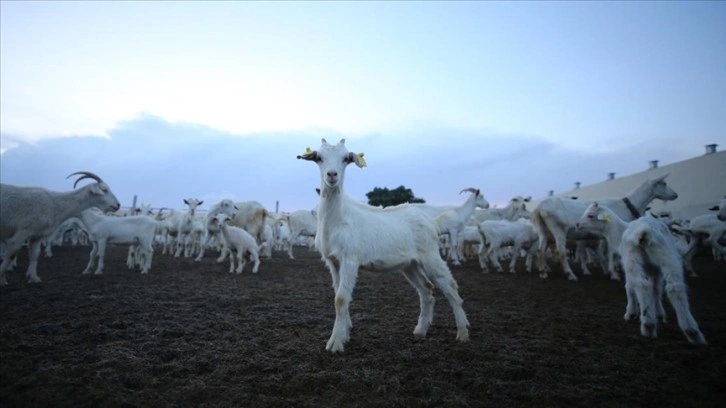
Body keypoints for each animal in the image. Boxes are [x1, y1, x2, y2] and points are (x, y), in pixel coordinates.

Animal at [298, 139, 472, 352]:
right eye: (319, 158)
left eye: (346, 158)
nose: (332, 175)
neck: (338, 218)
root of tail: (431, 222)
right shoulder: (333, 261)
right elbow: (338, 296)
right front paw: (345, 334)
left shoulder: (350, 259)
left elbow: (340, 299)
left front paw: (336, 343)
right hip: (410, 264)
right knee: (426, 290)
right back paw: (420, 331)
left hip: (430, 255)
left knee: (450, 287)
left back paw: (462, 333)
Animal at [532, 174, 680, 282]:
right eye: (663, 183)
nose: (675, 195)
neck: (626, 205)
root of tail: (539, 208)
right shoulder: (614, 233)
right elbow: (611, 253)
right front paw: (615, 272)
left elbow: (606, 253)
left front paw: (610, 270)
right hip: (558, 230)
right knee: (561, 251)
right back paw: (570, 274)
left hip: (543, 230)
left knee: (540, 251)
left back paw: (543, 272)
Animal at [576, 203, 708, 344]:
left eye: (591, 215)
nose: (577, 224)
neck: (618, 232)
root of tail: (644, 231)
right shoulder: (654, 269)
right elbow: (656, 290)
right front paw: (658, 313)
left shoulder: (626, 262)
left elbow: (630, 287)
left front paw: (632, 312)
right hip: (667, 256)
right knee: (674, 287)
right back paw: (692, 331)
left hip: (632, 257)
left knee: (641, 285)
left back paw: (648, 325)